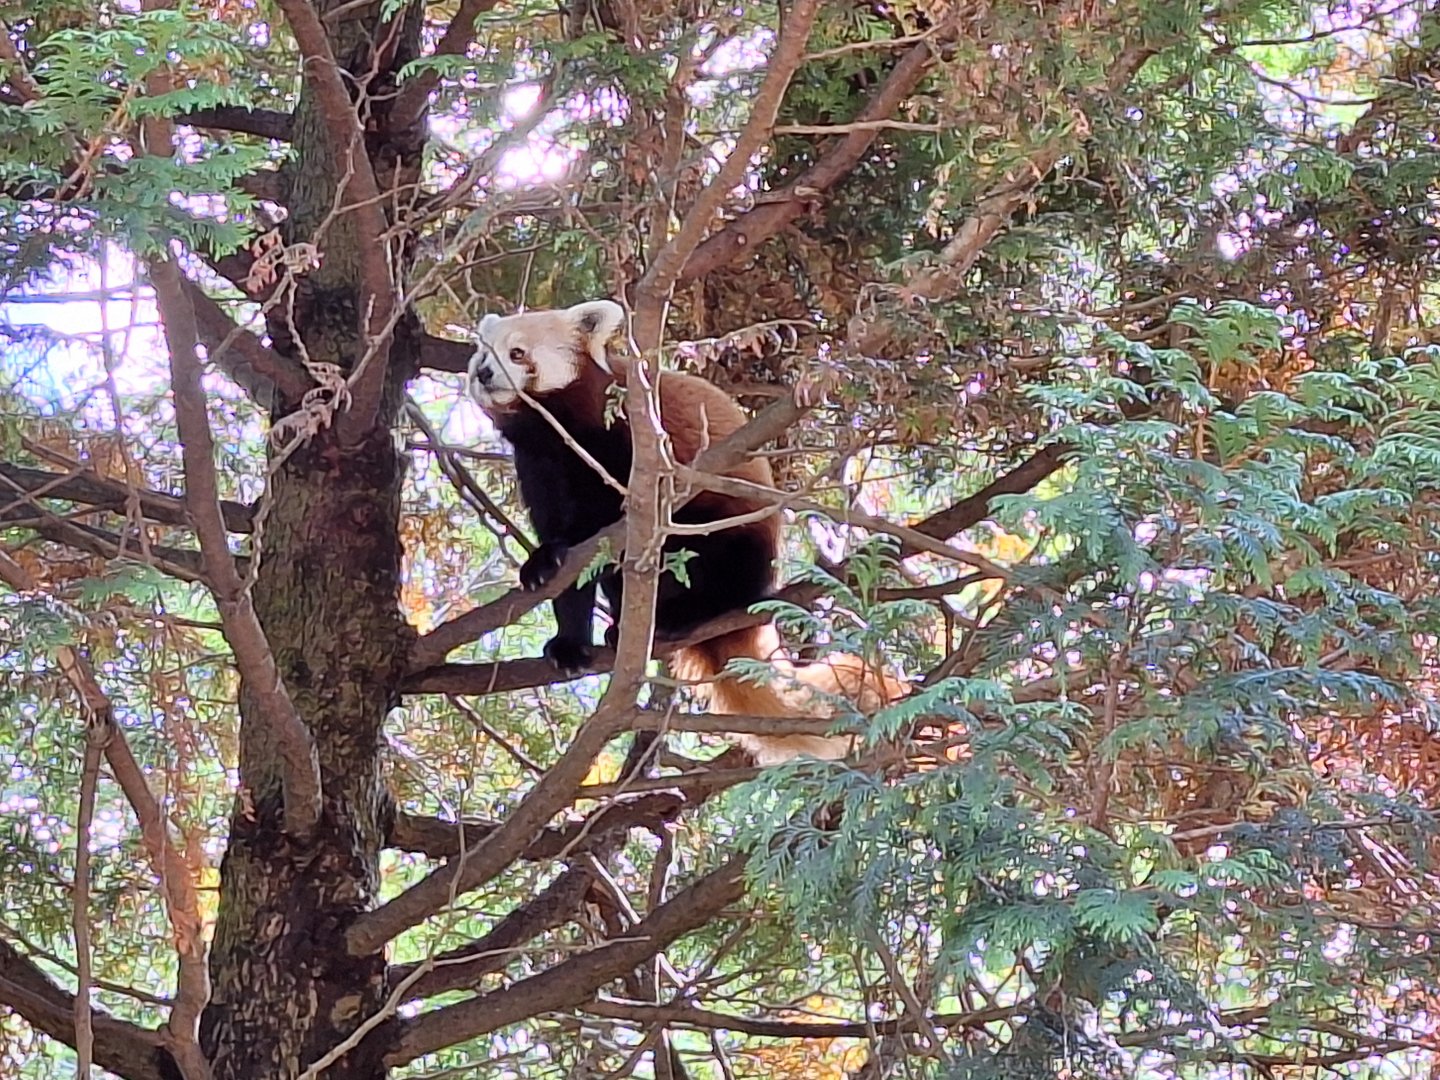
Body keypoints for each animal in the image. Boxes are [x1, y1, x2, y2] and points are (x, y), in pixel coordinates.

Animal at [468, 298, 908, 764]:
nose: (484, 374)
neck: (555, 436)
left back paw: (681, 615)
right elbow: (569, 565)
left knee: (718, 569)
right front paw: (559, 609)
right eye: (481, 355)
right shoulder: (539, 466)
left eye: (516, 353)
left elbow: (605, 531)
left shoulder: (631, 450)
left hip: (734, 533)